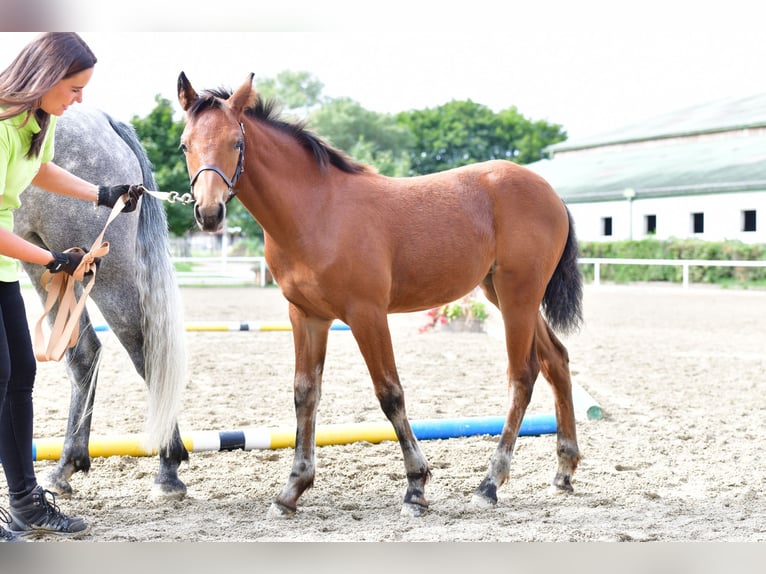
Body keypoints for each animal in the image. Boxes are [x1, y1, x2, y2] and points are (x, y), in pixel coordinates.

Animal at [177, 72, 584, 517]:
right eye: (184, 144)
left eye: (236, 141)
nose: (209, 213)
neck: (317, 211)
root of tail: (550, 192)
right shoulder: (307, 316)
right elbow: (305, 394)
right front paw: (291, 491)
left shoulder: (367, 314)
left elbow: (390, 394)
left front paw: (416, 488)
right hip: (502, 292)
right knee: (556, 360)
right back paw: (563, 472)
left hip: (518, 294)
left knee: (523, 375)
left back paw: (489, 484)